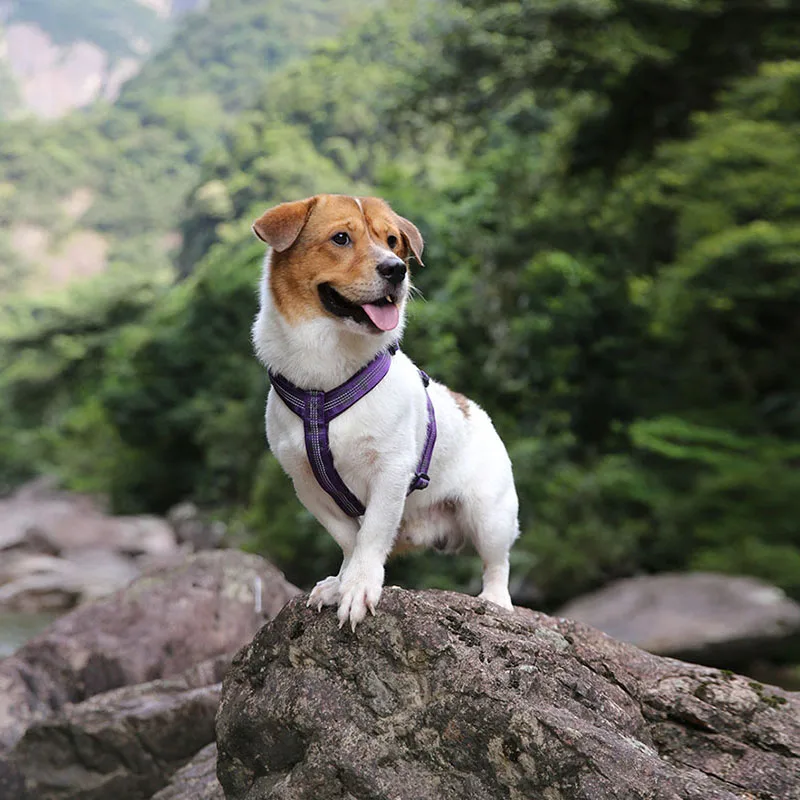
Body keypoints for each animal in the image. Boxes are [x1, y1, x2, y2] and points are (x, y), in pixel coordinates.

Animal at [253, 195, 520, 632]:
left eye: (392, 241)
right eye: (340, 238)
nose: (397, 269)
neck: (326, 377)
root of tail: (476, 410)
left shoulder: (391, 471)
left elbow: (372, 533)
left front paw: (359, 586)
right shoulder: (307, 484)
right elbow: (350, 538)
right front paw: (342, 581)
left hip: (489, 514)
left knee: (497, 563)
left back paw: (496, 600)